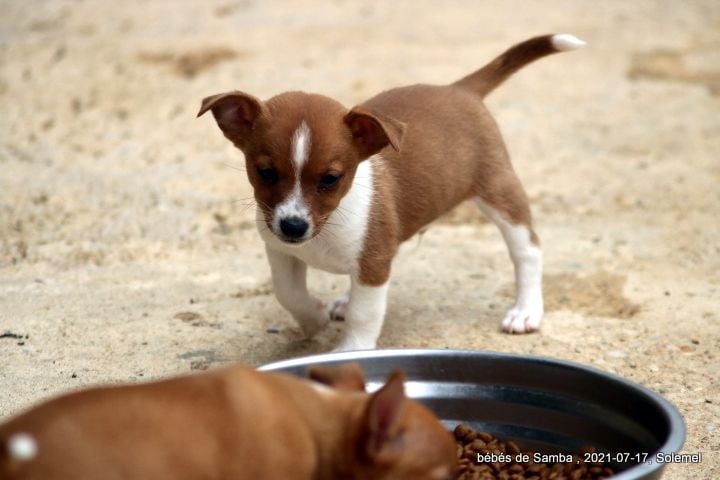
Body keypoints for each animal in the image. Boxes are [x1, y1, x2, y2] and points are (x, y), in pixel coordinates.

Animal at [198, 32, 584, 348]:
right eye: (265, 172)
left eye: (330, 179)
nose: (293, 226)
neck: (330, 224)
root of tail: (460, 89)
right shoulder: (282, 253)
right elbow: (287, 293)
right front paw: (314, 319)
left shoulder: (373, 264)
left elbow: (365, 314)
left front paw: (350, 350)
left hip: (499, 191)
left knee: (528, 250)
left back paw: (526, 311)